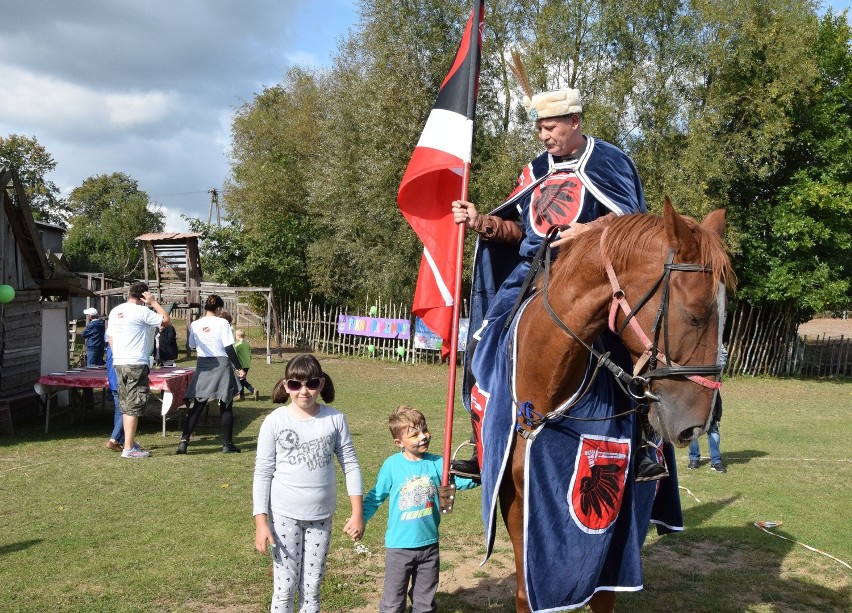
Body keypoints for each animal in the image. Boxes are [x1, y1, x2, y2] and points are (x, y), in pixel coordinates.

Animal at [502, 201, 736, 612]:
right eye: (696, 314)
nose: (699, 424)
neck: (546, 378)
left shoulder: (619, 528)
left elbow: (605, 592)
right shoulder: (517, 506)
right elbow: (525, 593)